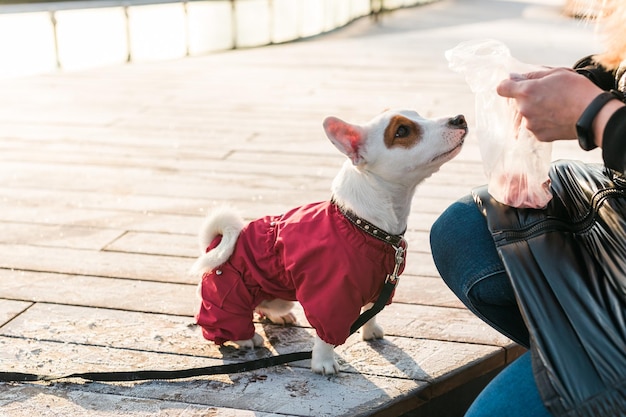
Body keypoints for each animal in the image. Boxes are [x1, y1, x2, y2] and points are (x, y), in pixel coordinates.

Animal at [189, 108, 464, 374]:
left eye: (420, 115)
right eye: (402, 131)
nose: (459, 118)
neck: (364, 226)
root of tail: (214, 243)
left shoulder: (380, 286)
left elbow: (371, 312)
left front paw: (370, 332)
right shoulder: (330, 298)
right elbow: (325, 335)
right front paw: (324, 362)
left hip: (278, 295)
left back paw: (277, 317)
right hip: (228, 298)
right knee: (224, 327)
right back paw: (247, 338)